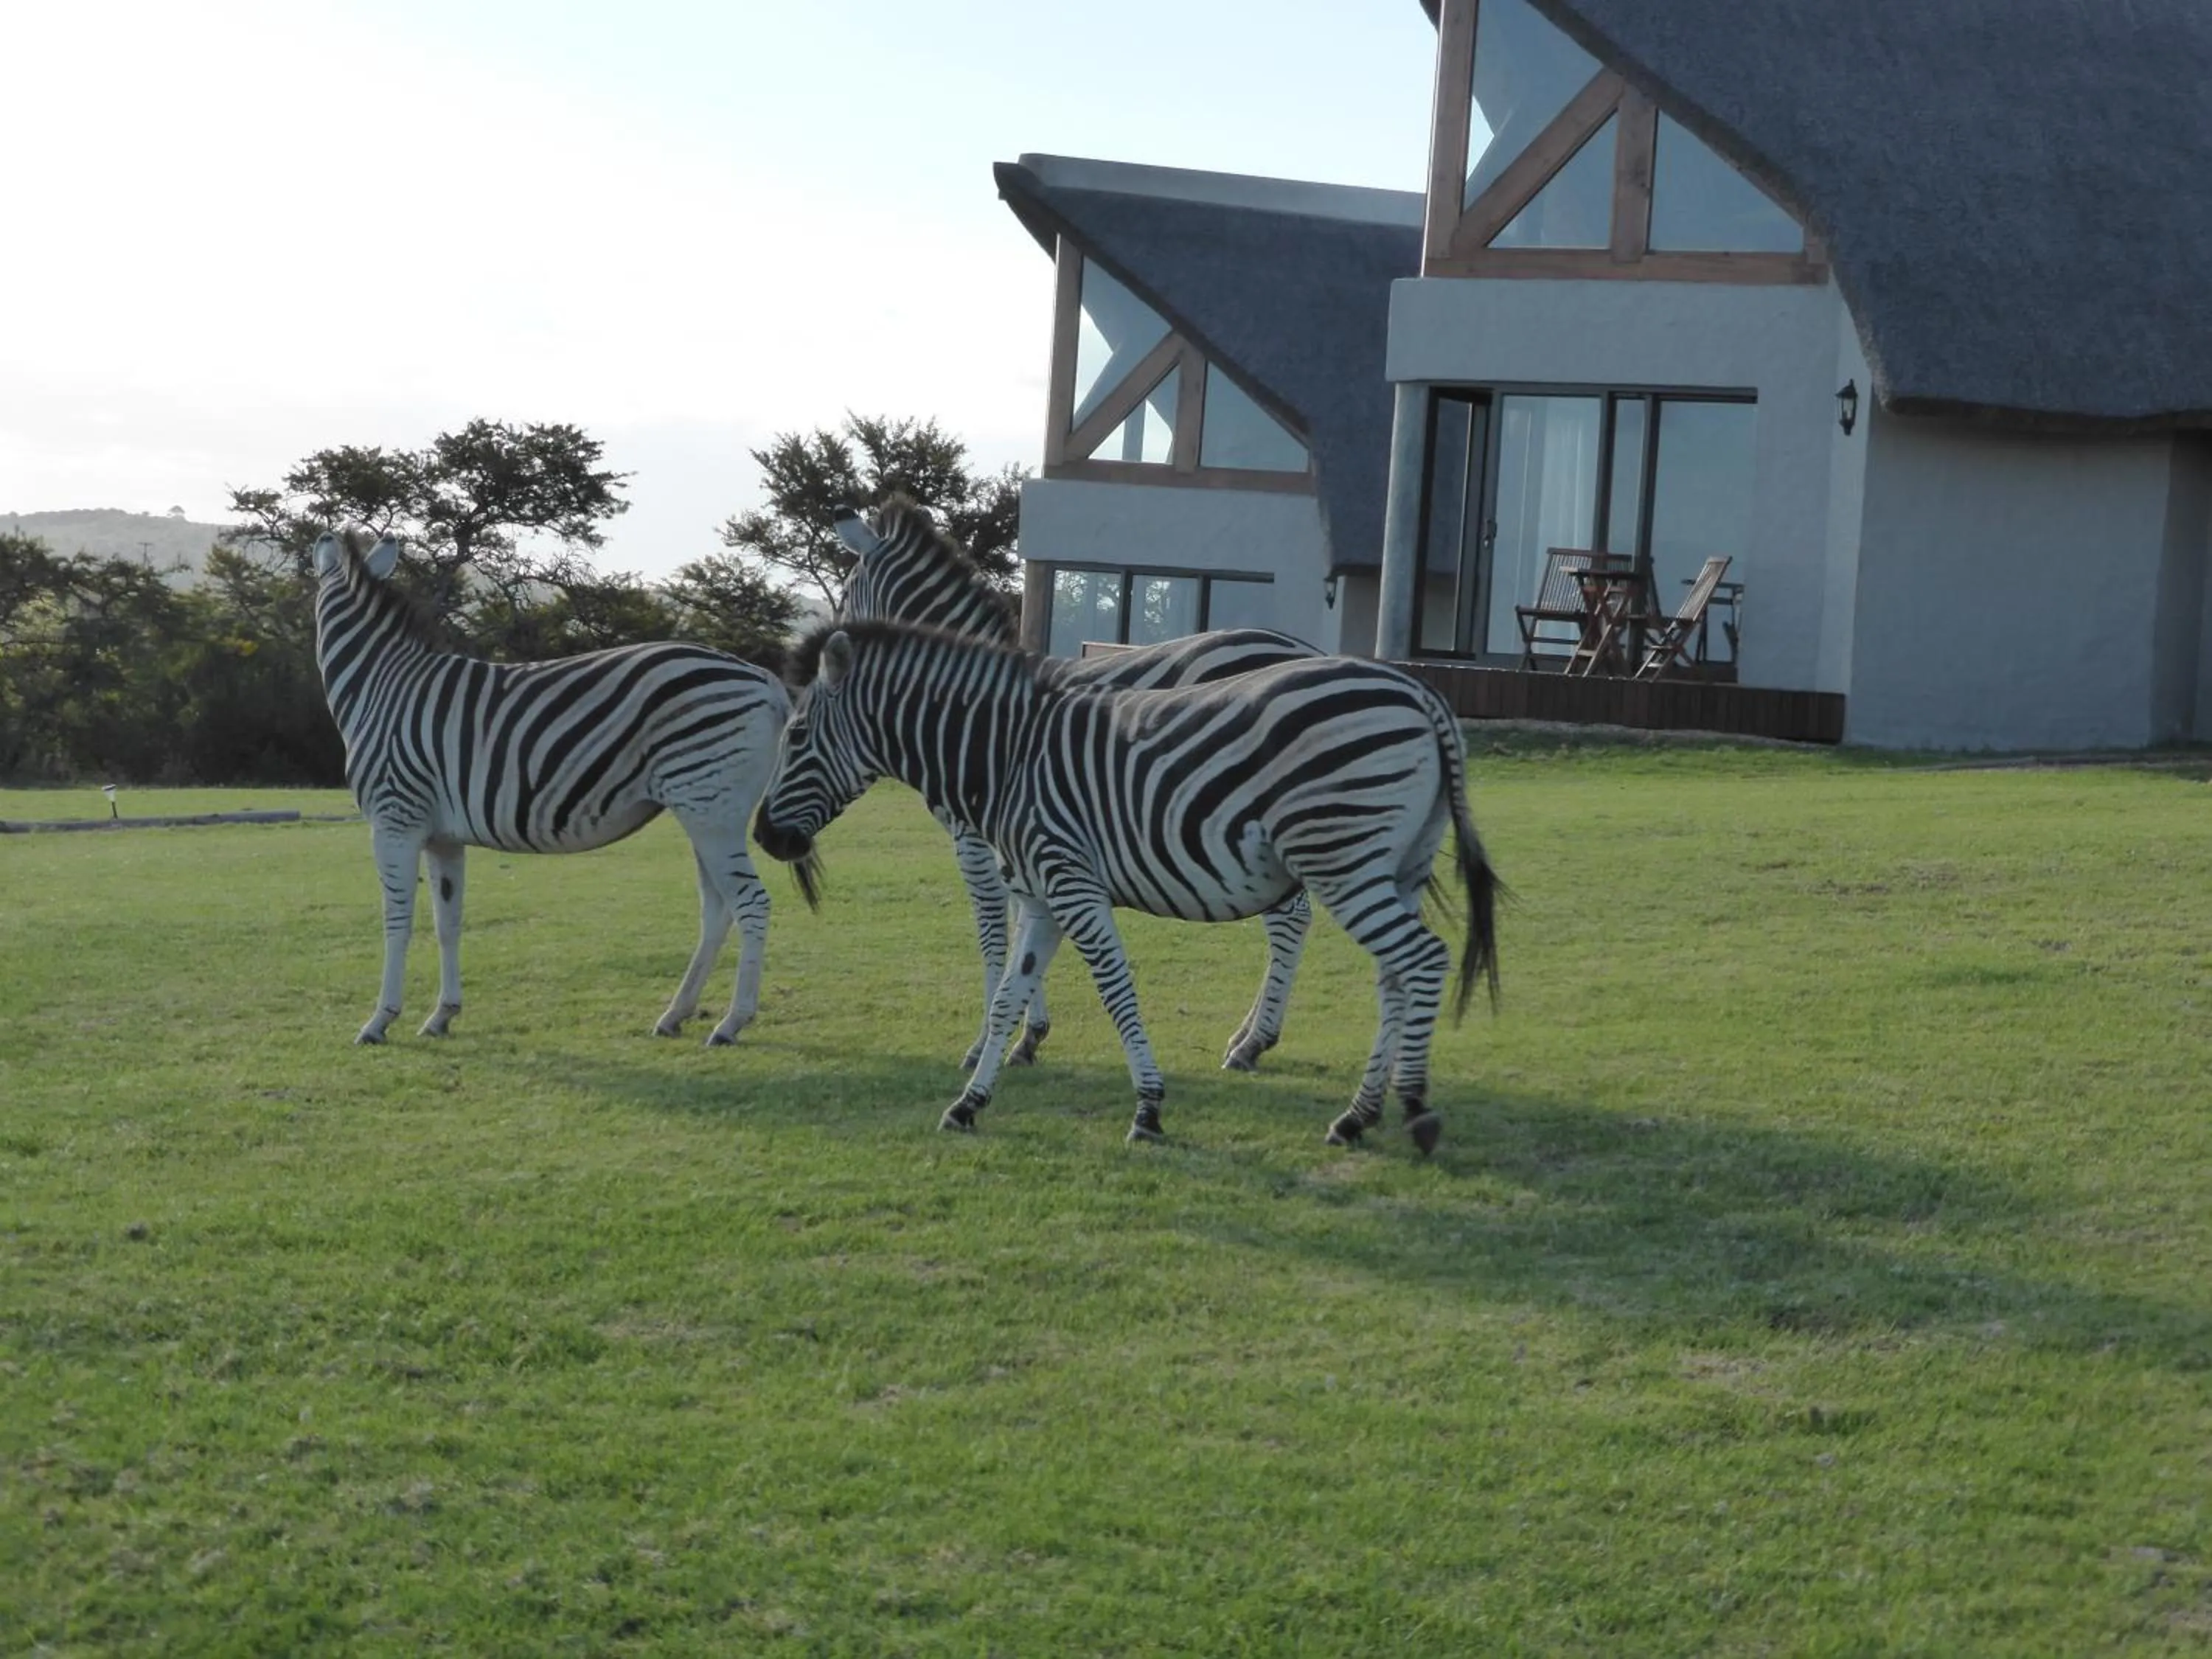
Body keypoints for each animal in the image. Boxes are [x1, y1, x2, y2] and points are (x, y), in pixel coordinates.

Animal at [310, 527, 803, 1046]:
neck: (380, 686)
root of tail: (764, 680)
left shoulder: (395, 820)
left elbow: (397, 921)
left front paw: (379, 1020)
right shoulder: (442, 836)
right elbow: (448, 923)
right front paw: (443, 1014)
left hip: (710, 808)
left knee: (751, 903)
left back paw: (732, 1022)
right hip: (708, 811)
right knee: (718, 909)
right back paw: (676, 1015)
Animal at [753, 620, 1500, 1151]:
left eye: (796, 735)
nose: (764, 836)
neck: (1006, 754)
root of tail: (1420, 692)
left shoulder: (1071, 882)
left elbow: (1116, 990)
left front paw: (1148, 1109)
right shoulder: (1041, 897)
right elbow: (1006, 1000)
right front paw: (970, 1102)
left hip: (1341, 858)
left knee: (1422, 960)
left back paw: (1412, 1108)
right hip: (1395, 867)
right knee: (1394, 977)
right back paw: (1357, 1116)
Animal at [829, 495, 1320, 1073]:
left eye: (844, 595)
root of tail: (1303, 650)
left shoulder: (975, 837)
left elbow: (993, 928)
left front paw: (984, 1042)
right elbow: (1023, 919)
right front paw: (1028, 1034)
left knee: (1289, 919)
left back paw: (1253, 1042)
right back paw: (1249, 1033)